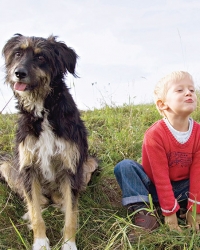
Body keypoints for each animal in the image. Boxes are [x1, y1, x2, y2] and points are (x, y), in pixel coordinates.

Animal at [0, 33, 97, 250]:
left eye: (41, 57)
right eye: (18, 54)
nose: (18, 73)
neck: (43, 109)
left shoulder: (72, 167)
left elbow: (71, 214)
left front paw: (69, 243)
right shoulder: (28, 168)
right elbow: (36, 212)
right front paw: (40, 242)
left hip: (89, 163)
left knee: (63, 199)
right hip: (6, 166)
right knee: (40, 201)